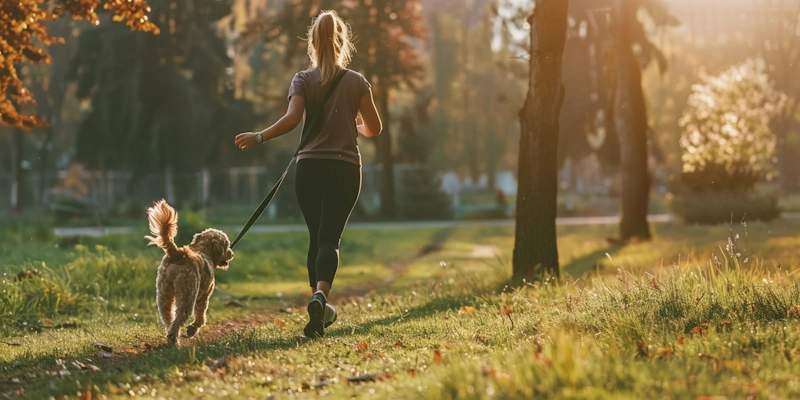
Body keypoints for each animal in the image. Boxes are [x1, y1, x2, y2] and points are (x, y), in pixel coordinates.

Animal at [145, 200, 233, 346]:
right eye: (227, 245)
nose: (232, 254)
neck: (204, 251)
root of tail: (178, 253)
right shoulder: (204, 297)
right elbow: (201, 317)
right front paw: (192, 329)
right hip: (188, 293)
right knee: (179, 318)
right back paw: (174, 340)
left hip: (164, 293)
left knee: (169, 318)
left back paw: (171, 336)